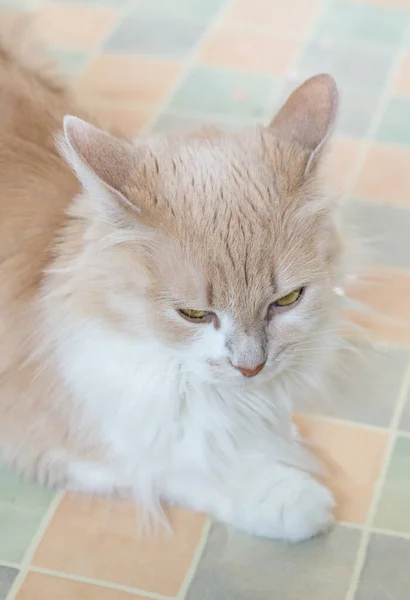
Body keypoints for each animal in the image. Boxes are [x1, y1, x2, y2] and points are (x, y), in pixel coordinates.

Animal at [0, 8, 344, 544]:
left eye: (286, 301)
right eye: (194, 314)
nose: (251, 367)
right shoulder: (58, 438)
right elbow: (191, 465)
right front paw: (290, 497)